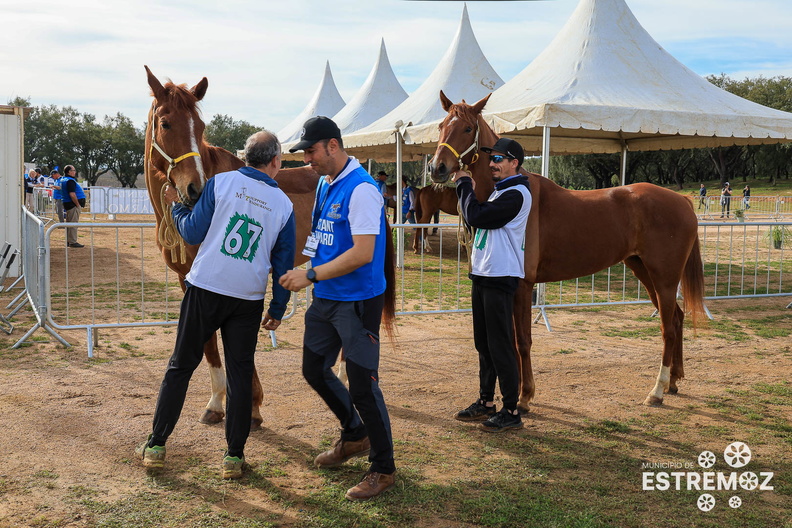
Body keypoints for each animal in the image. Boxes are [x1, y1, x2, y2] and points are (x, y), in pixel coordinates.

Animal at [430, 91, 708, 410]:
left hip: (664, 277)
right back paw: (674, 380)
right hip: (644, 270)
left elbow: (522, 341)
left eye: (466, 128)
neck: (511, 188)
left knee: (668, 328)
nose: (437, 168)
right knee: (677, 317)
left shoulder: (523, 286)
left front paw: (524, 397)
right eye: (441, 126)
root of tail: (683, 201)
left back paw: (657, 390)